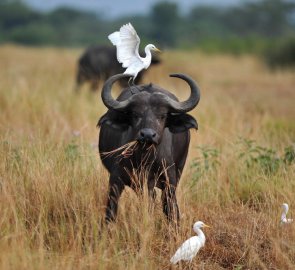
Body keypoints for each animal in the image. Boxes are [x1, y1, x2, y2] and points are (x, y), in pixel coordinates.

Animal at [97, 73, 201, 223]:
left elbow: (170, 209)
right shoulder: (116, 180)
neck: (145, 159)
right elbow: (110, 212)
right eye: (135, 115)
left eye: (162, 116)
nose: (147, 135)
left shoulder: (169, 181)